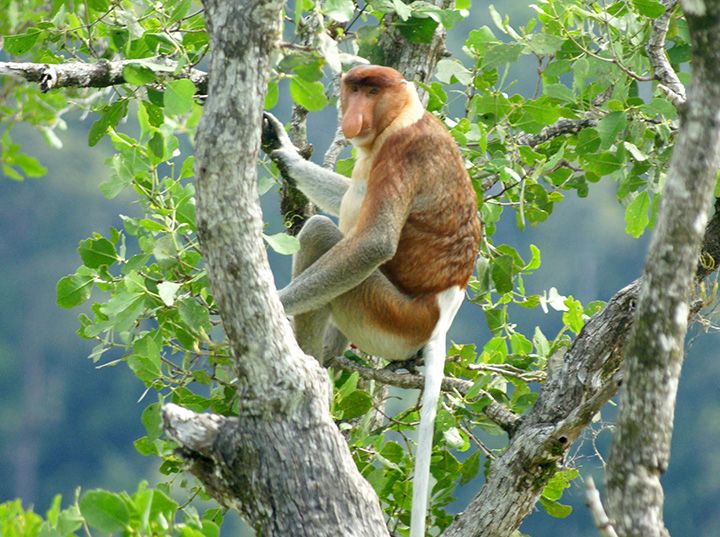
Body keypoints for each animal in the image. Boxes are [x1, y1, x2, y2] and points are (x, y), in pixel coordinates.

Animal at [262, 64, 481, 537]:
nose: (353, 114)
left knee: (322, 234)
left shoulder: (403, 153)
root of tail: (441, 315)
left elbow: (373, 243)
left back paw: (308, 367)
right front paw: (283, 149)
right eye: (355, 88)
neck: (399, 119)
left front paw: (277, 303)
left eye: (373, 91)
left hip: (389, 316)